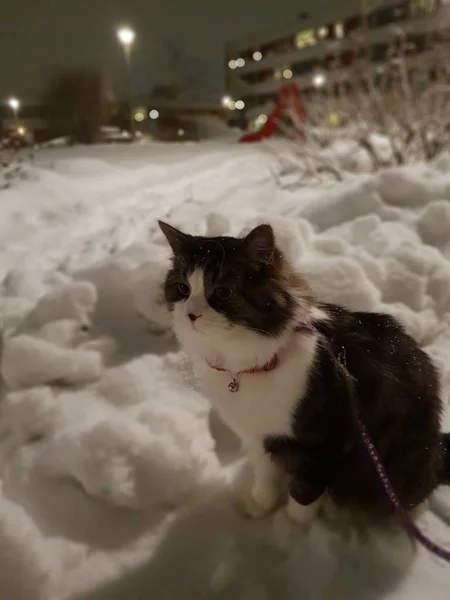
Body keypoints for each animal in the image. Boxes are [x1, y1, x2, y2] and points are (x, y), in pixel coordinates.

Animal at [159, 220, 450, 524]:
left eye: (223, 292)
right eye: (182, 288)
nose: (191, 315)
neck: (251, 364)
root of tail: (436, 454)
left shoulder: (325, 439)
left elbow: (303, 493)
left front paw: (289, 525)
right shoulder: (259, 436)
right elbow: (265, 477)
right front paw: (260, 506)